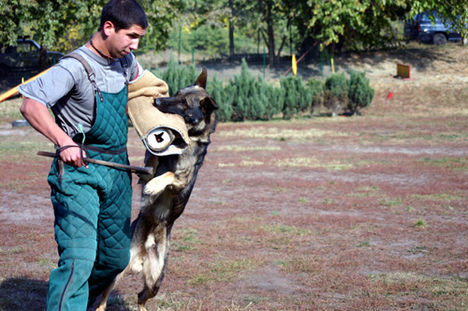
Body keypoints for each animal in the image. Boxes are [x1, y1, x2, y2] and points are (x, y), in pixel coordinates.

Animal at [96, 69, 219, 311]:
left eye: (183, 103)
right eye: (177, 93)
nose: (156, 101)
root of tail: (144, 252)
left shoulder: (182, 180)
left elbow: (168, 175)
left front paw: (153, 187)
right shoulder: (150, 167)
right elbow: (152, 165)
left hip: (156, 281)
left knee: (141, 297)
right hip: (120, 269)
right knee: (104, 296)